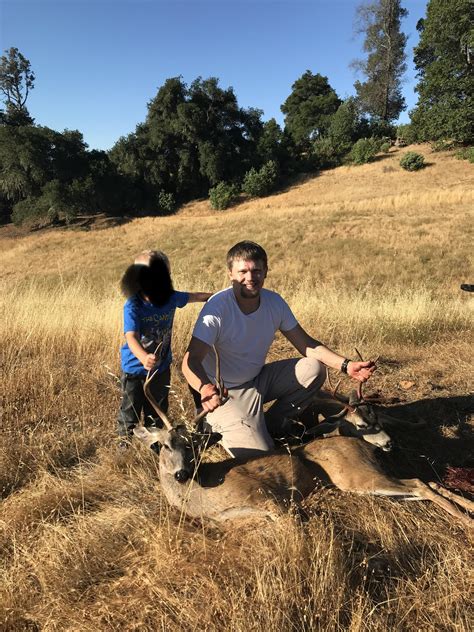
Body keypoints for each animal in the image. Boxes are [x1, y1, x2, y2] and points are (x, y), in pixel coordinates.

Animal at [133, 350, 474, 528]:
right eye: (163, 445)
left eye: (192, 446)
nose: (182, 473)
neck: (201, 497)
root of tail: (360, 443)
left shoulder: (271, 499)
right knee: (425, 481)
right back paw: (467, 507)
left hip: (354, 477)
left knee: (419, 483)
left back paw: (466, 521)